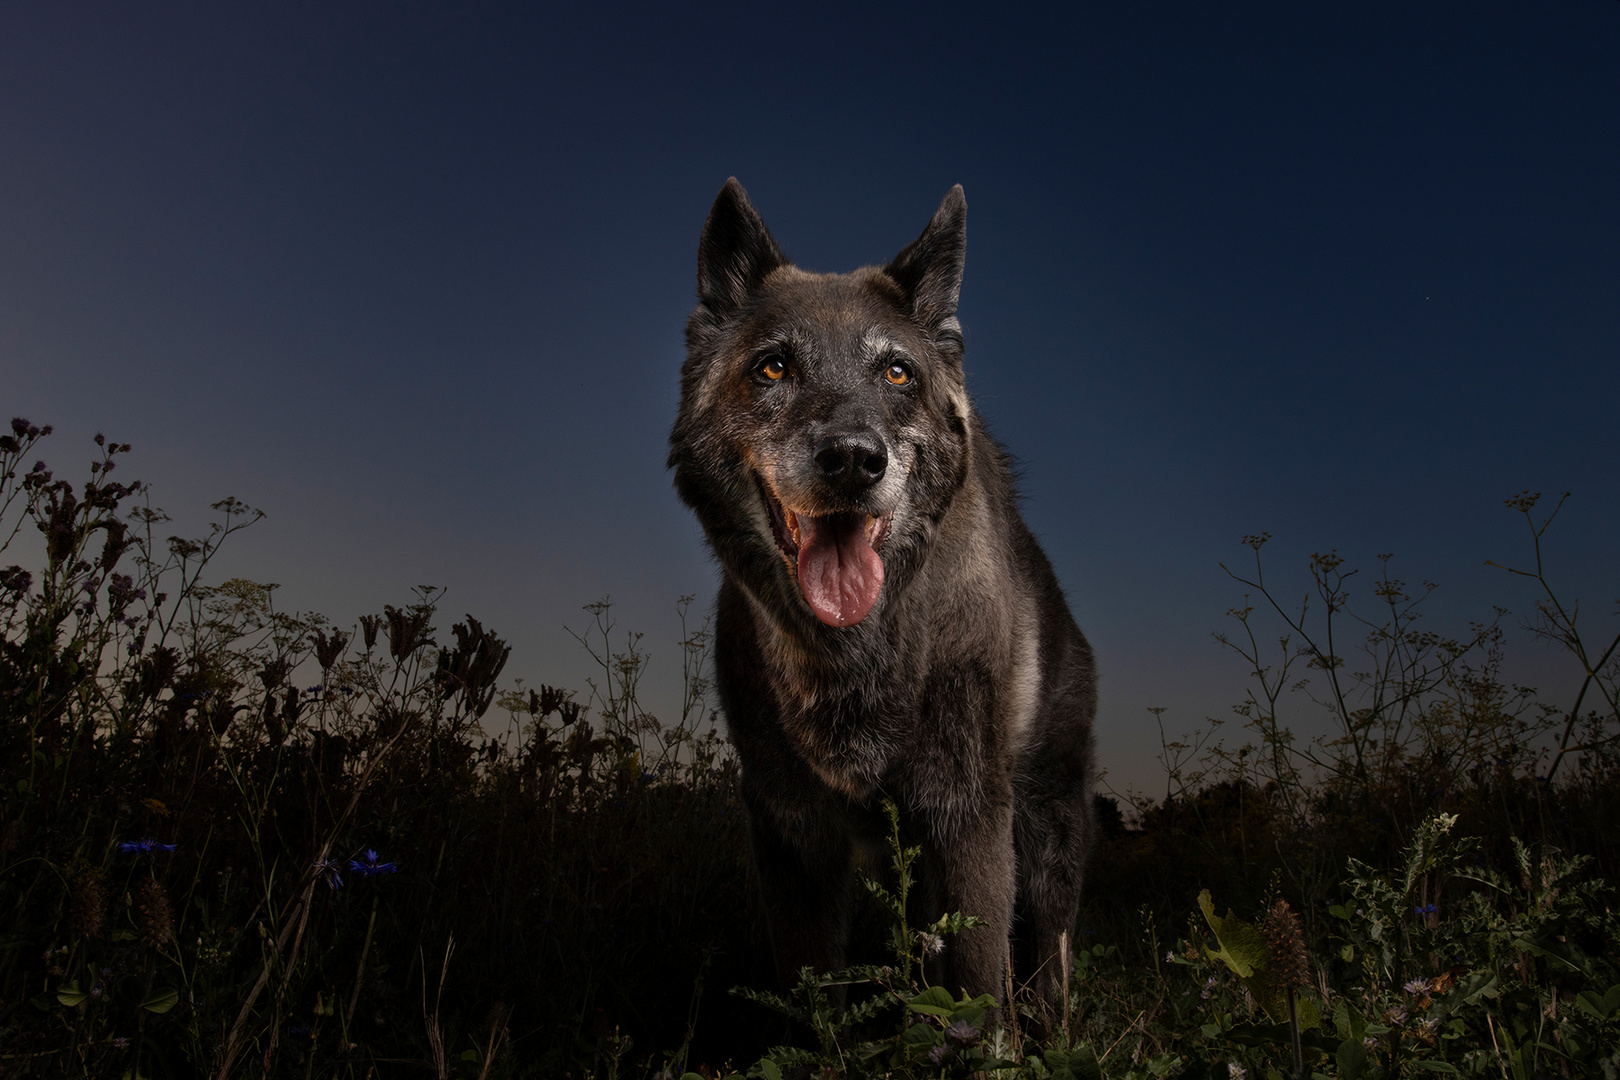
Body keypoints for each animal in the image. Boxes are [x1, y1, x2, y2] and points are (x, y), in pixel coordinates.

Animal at [664, 179, 1095, 1016]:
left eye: (897, 374)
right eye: (773, 368)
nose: (854, 460)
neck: (858, 653)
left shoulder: (969, 819)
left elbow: (978, 993)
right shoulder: (791, 834)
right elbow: (814, 1002)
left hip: (1049, 844)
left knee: (1047, 971)